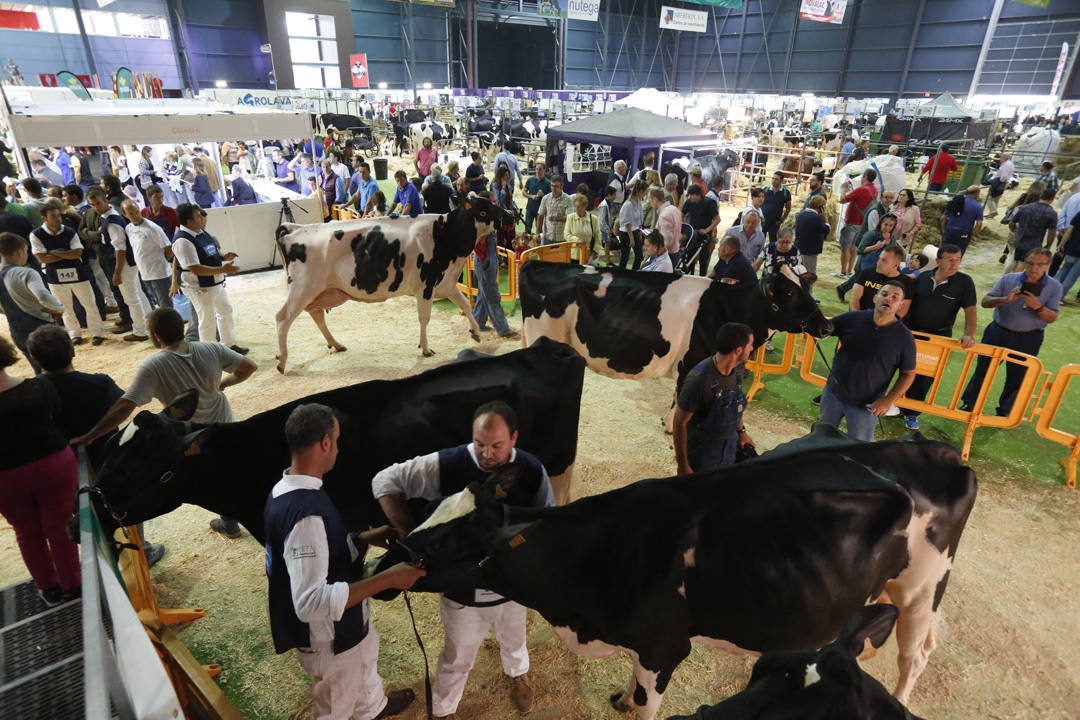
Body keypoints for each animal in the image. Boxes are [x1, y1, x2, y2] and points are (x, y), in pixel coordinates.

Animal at [267, 199, 507, 375]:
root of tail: (294, 228)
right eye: (483, 212)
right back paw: (282, 361)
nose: (510, 215)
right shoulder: (426, 285)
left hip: (321, 291)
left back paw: (335, 344)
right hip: (302, 289)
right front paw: (426, 348)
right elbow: (424, 318)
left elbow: (465, 304)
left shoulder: (446, 284)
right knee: (282, 319)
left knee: (316, 314)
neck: (444, 234)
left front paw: (475, 332)